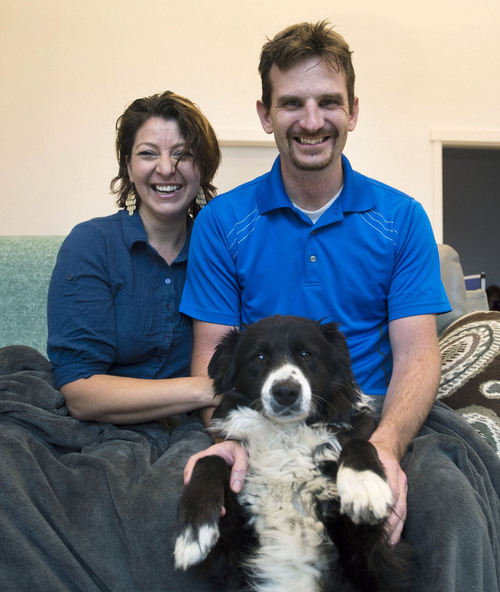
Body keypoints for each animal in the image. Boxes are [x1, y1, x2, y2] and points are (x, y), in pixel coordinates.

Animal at [175, 316, 414, 588]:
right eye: (258, 357)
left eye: (306, 354)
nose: (286, 392)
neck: (286, 434)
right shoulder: (232, 556)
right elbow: (211, 458)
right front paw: (193, 529)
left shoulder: (372, 558)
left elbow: (358, 443)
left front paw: (364, 486)